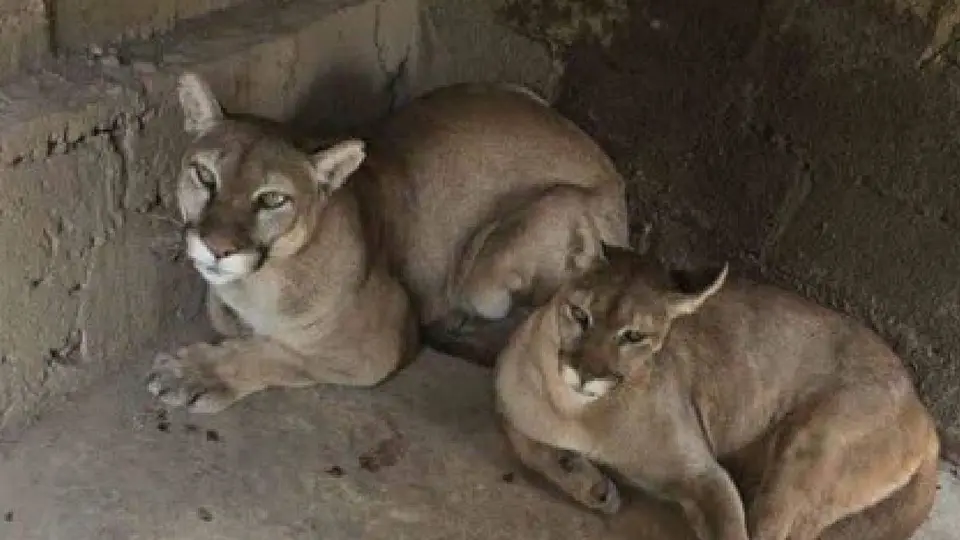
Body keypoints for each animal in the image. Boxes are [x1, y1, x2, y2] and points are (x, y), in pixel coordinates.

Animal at [495, 243, 939, 540]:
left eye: (634, 336)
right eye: (580, 315)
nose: (586, 374)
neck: (575, 410)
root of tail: (923, 409)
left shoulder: (705, 474)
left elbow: (728, 528)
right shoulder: (510, 395)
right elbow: (522, 439)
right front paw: (587, 481)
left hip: (811, 448)